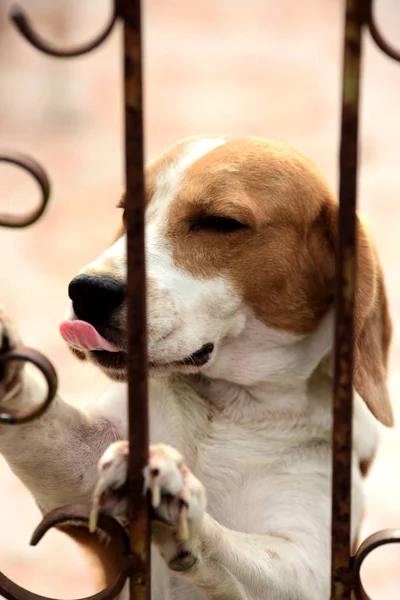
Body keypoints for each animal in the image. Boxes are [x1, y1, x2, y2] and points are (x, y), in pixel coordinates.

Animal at [0, 137, 394, 600]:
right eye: (126, 213)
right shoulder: (76, 478)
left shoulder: (311, 561)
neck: (228, 408)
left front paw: (177, 500)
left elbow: (231, 545)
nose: (87, 291)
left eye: (220, 223)